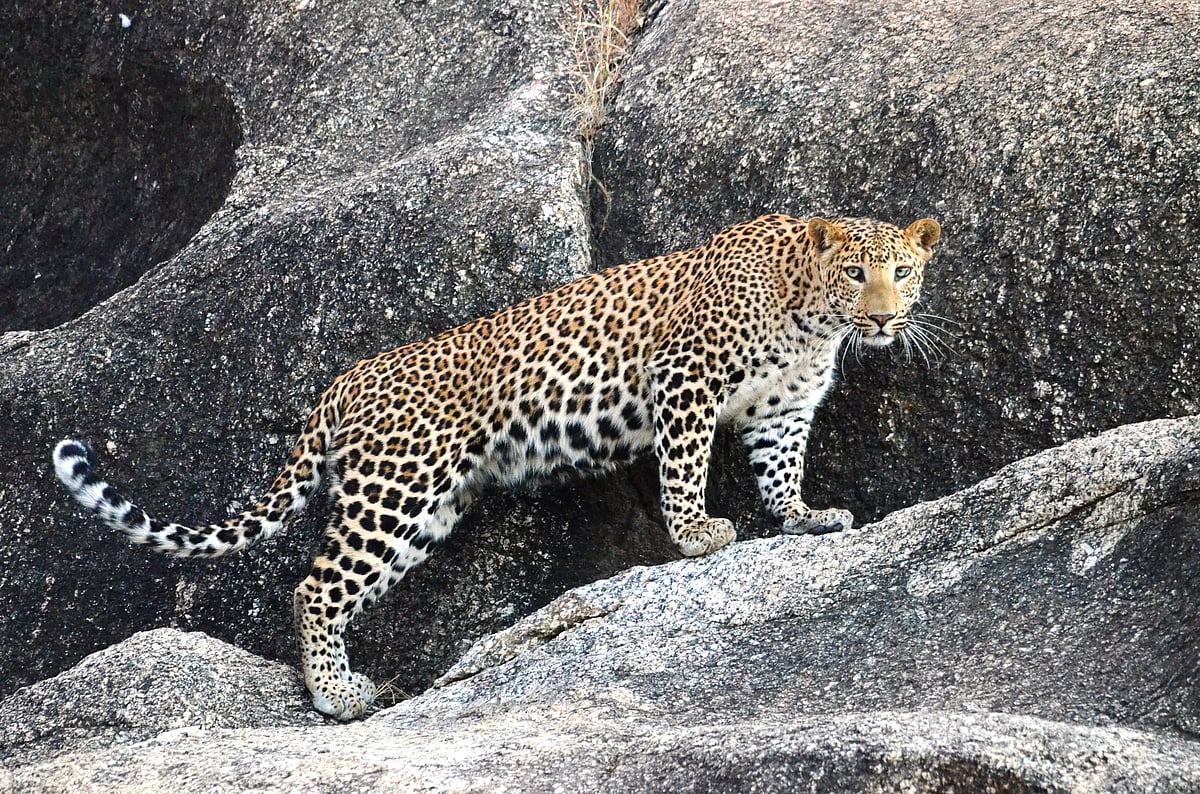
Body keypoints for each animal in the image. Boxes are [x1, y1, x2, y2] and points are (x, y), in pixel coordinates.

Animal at [53, 212, 941, 720]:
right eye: (857, 271)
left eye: (902, 271)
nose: (884, 318)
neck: (814, 316)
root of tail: (344, 381)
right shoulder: (684, 379)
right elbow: (684, 462)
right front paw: (695, 532)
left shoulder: (781, 413)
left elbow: (781, 469)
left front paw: (803, 517)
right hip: (397, 488)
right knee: (313, 586)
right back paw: (335, 695)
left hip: (426, 510)